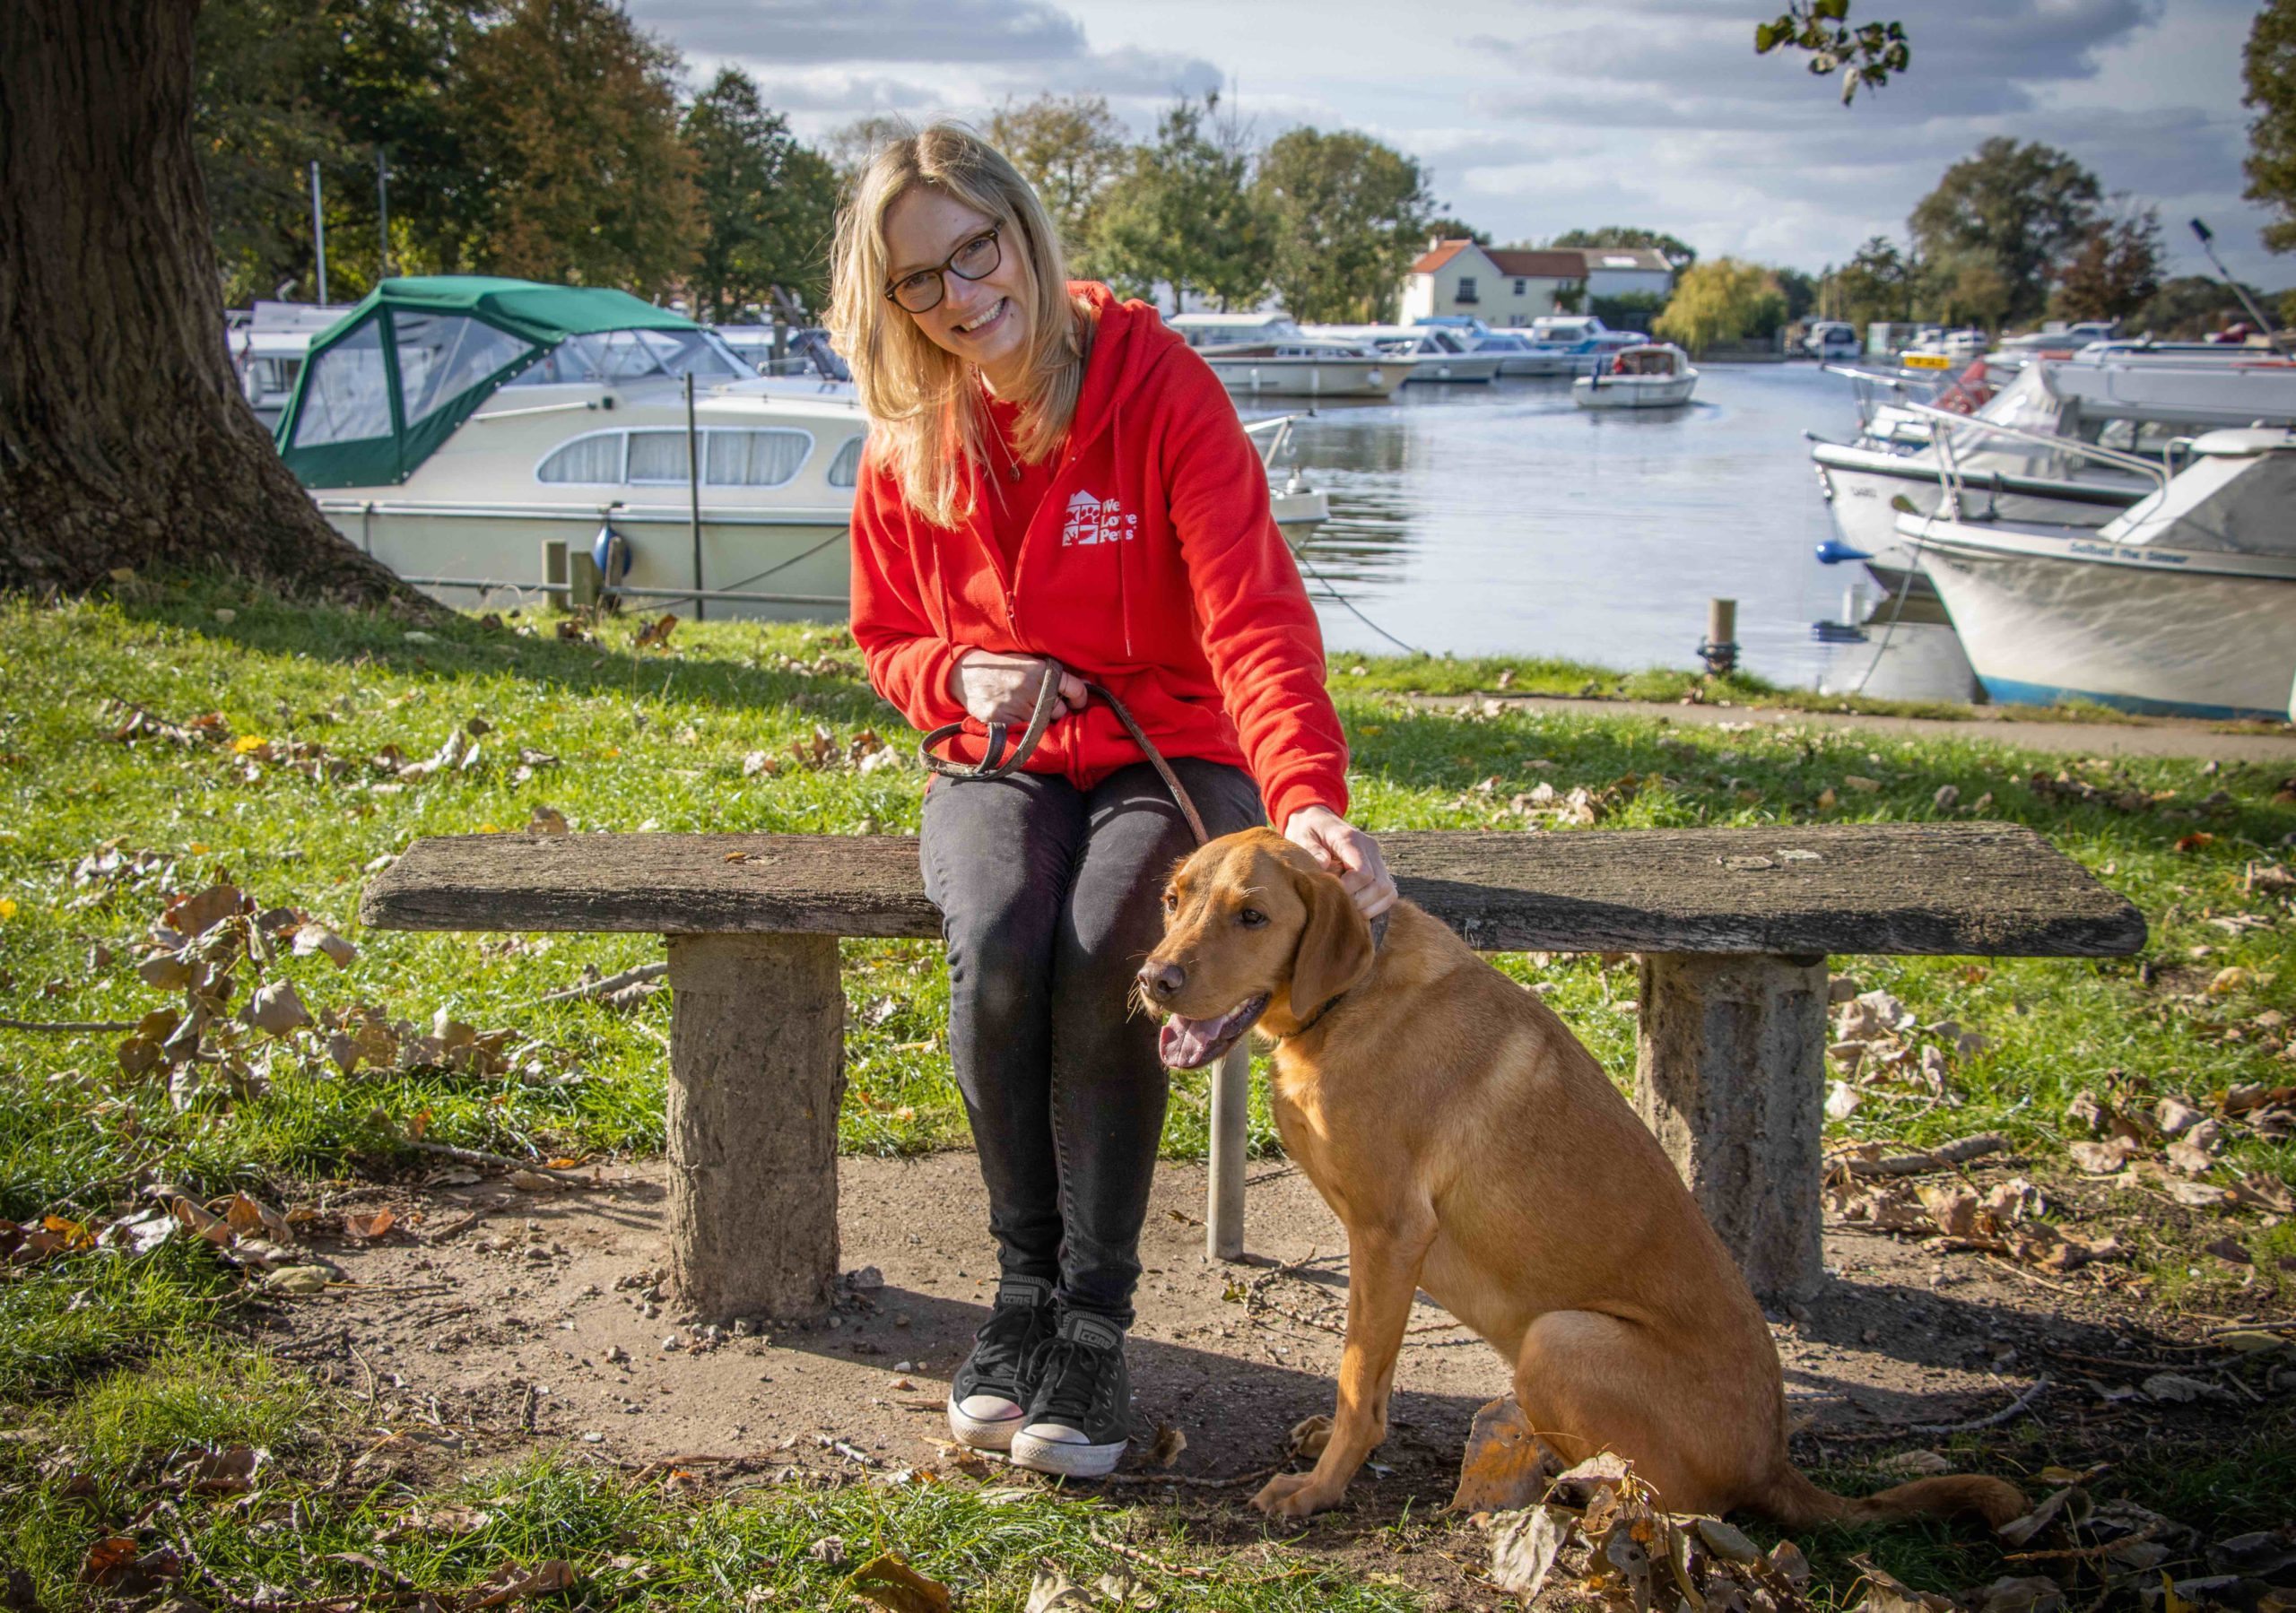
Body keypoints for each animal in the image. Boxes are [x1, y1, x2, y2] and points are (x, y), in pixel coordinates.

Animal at [1138, 835, 2020, 1523]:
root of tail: (1774, 1462)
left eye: (1253, 916)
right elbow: (1370, 1375)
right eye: (1173, 900)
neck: (1349, 996)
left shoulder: (1390, 1234)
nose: (1154, 980)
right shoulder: (1384, 1253)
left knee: (1670, 1502)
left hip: (1560, 1337)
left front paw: (1320, 1489)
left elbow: (1359, 1380)